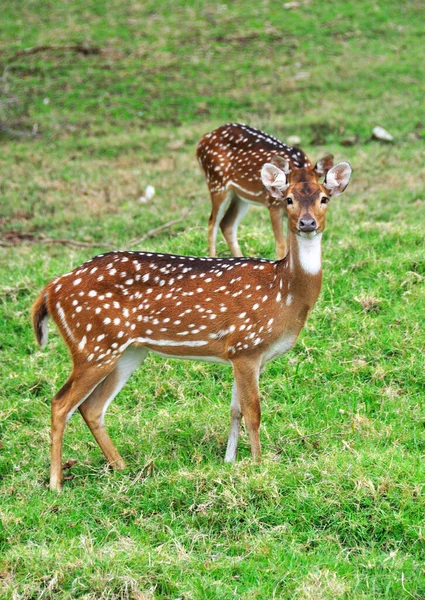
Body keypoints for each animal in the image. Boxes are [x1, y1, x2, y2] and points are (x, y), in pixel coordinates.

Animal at [32, 159, 352, 492]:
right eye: (288, 199)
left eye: (324, 198)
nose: (307, 223)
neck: (284, 293)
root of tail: (51, 290)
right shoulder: (247, 345)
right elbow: (253, 411)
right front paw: (258, 465)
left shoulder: (242, 354)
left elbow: (235, 409)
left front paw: (229, 461)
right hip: (92, 344)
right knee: (60, 403)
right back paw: (56, 483)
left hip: (126, 350)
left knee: (92, 407)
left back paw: (122, 468)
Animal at [196, 123, 334, 258]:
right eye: (289, 190)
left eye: (319, 194)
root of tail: (202, 140)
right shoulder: (273, 205)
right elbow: (281, 245)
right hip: (217, 183)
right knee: (212, 223)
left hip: (240, 196)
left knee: (227, 224)